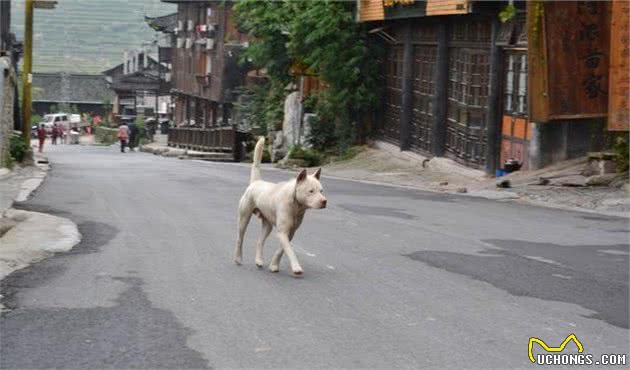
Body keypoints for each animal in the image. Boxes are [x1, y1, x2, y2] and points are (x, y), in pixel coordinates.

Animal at [235, 137, 328, 274]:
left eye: (321, 191)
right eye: (311, 191)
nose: (324, 201)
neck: (295, 205)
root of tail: (256, 182)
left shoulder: (290, 233)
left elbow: (281, 250)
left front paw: (274, 265)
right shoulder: (282, 232)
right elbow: (290, 250)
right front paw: (296, 267)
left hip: (267, 225)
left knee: (260, 241)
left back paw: (259, 260)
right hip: (243, 219)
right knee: (240, 238)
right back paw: (238, 258)